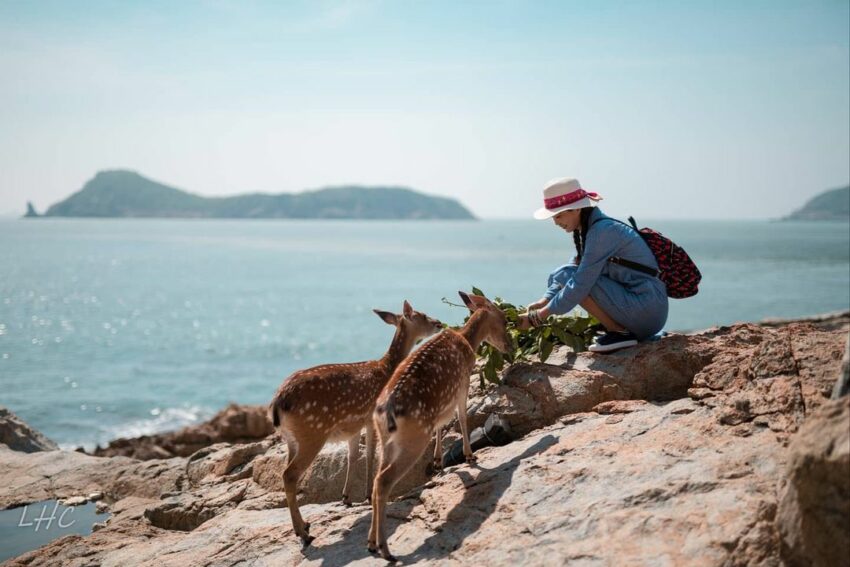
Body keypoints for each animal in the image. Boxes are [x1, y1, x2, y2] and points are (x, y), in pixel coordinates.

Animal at [270, 300, 444, 548]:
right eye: (422, 315)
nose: (439, 323)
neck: (386, 368)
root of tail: (278, 402)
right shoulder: (371, 418)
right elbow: (370, 454)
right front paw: (366, 495)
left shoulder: (353, 426)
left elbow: (353, 456)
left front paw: (346, 497)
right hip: (312, 432)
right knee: (289, 474)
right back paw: (303, 533)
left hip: (291, 439)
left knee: (286, 473)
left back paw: (304, 526)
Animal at [366, 292, 510, 564]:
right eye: (505, 319)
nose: (510, 345)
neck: (467, 340)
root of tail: (385, 411)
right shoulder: (462, 382)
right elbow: (462, 417)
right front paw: (469, 456)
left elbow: (441, 425)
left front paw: (438, 462)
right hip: (413, 438)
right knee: (384, 481)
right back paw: (386, 550)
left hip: (386, 441)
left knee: (377, 477)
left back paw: (370, 543)